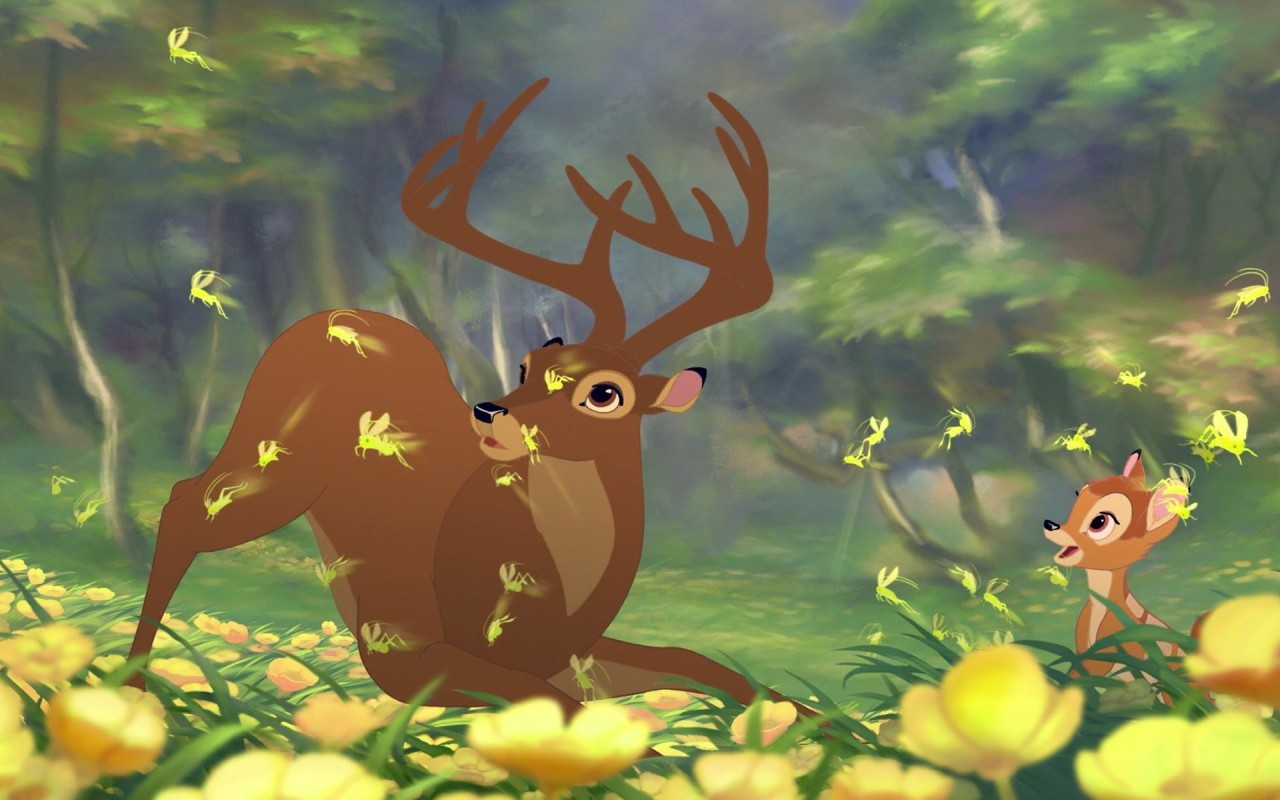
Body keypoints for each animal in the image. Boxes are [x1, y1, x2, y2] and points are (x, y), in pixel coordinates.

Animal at [125, 78, 797, 719]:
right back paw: (134, 684)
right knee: (185, 505)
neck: (557, 607)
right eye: (529, 364)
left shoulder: (575, 654)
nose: (490, 411)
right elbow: (554, 704)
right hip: (277, 462)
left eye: (605, 393)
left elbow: (700, 663)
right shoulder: (404, 646)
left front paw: (813, 724)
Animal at [1042, 449, 1209, 703]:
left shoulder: (1108, 650)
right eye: (1078, 495)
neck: (1103, 606)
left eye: (1099, 522)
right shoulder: (1083, 649)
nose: (1050, 524)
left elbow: (1079, 677)